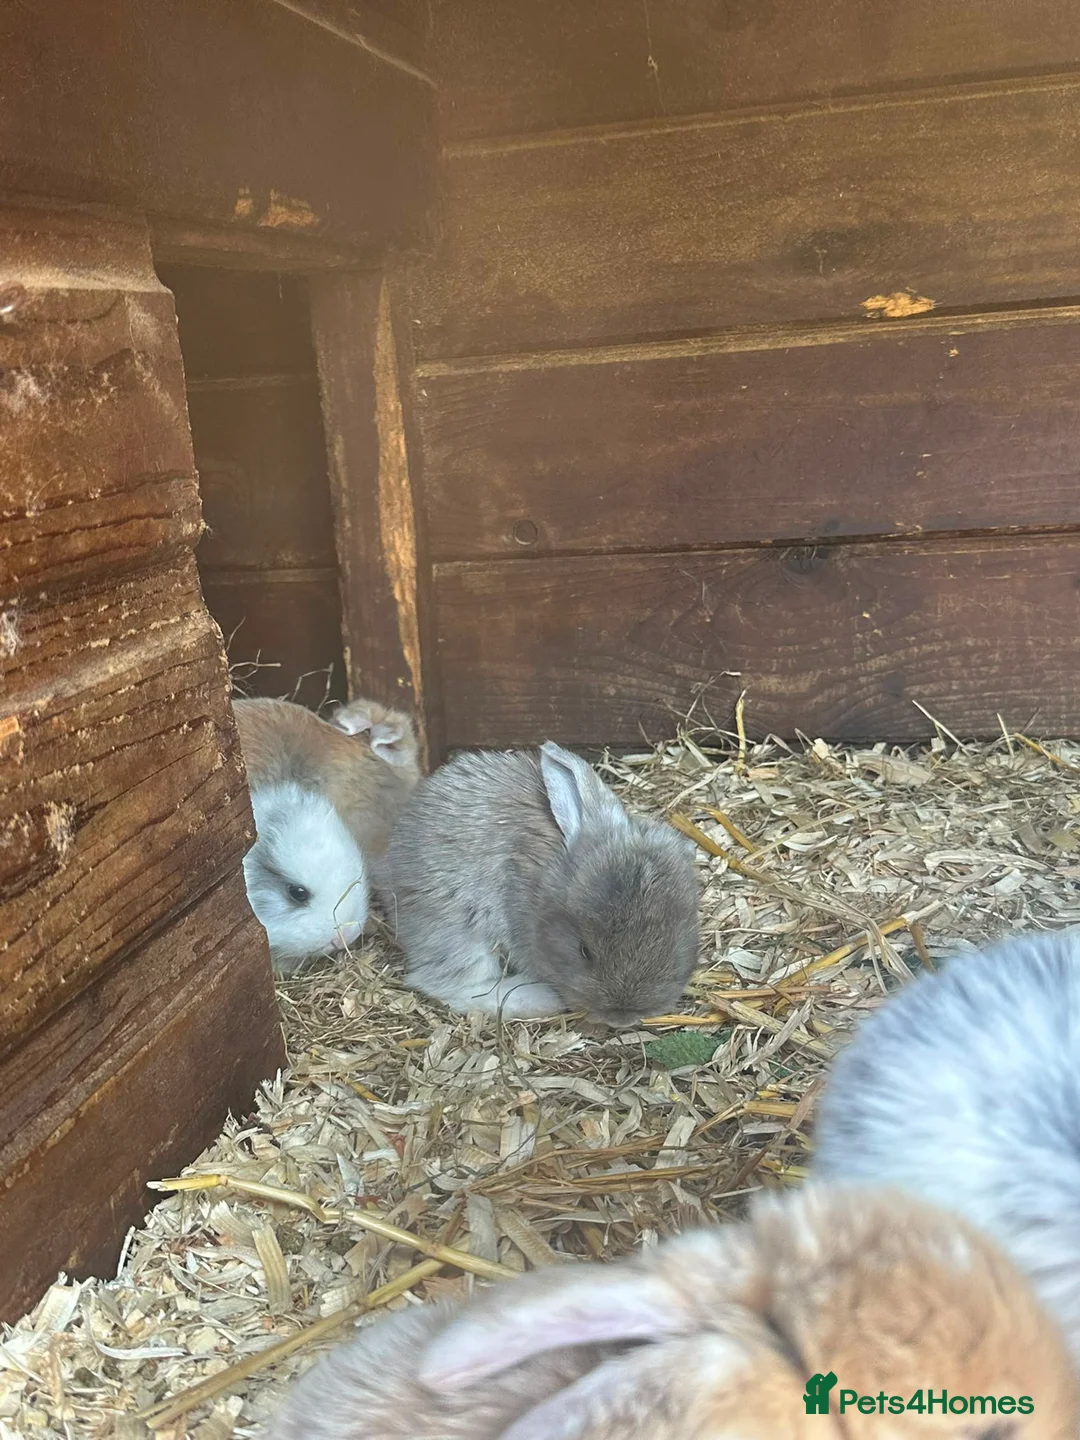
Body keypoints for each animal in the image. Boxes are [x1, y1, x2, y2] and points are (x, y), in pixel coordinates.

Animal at [376, 741, 700, 1025]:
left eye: (673, 945)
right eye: (584, 951)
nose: (622, 1019)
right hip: (455, 930)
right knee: (451, 985)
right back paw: (541, 998)